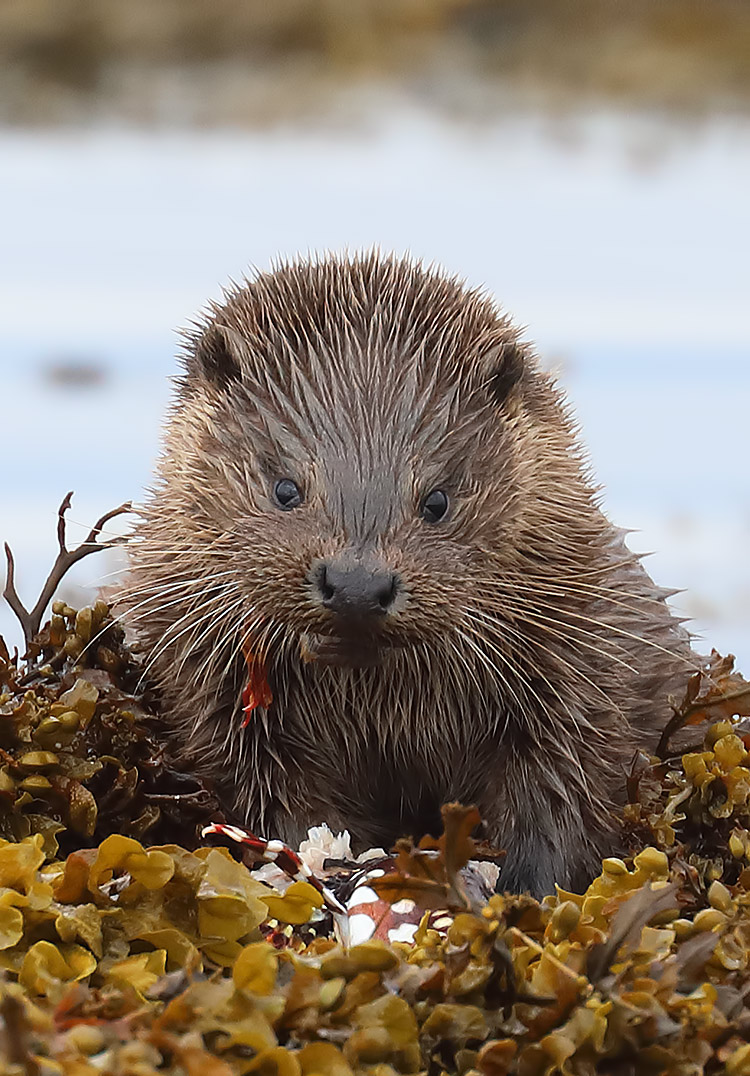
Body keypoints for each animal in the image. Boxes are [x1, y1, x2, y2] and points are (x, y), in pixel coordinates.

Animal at [120, 252, 692, 896]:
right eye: (286, 489)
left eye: (437, 500)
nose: (356, 585)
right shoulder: (208, 687)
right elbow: (271, 793)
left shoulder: (580, 655)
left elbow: (567, 781)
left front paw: (527, 888)